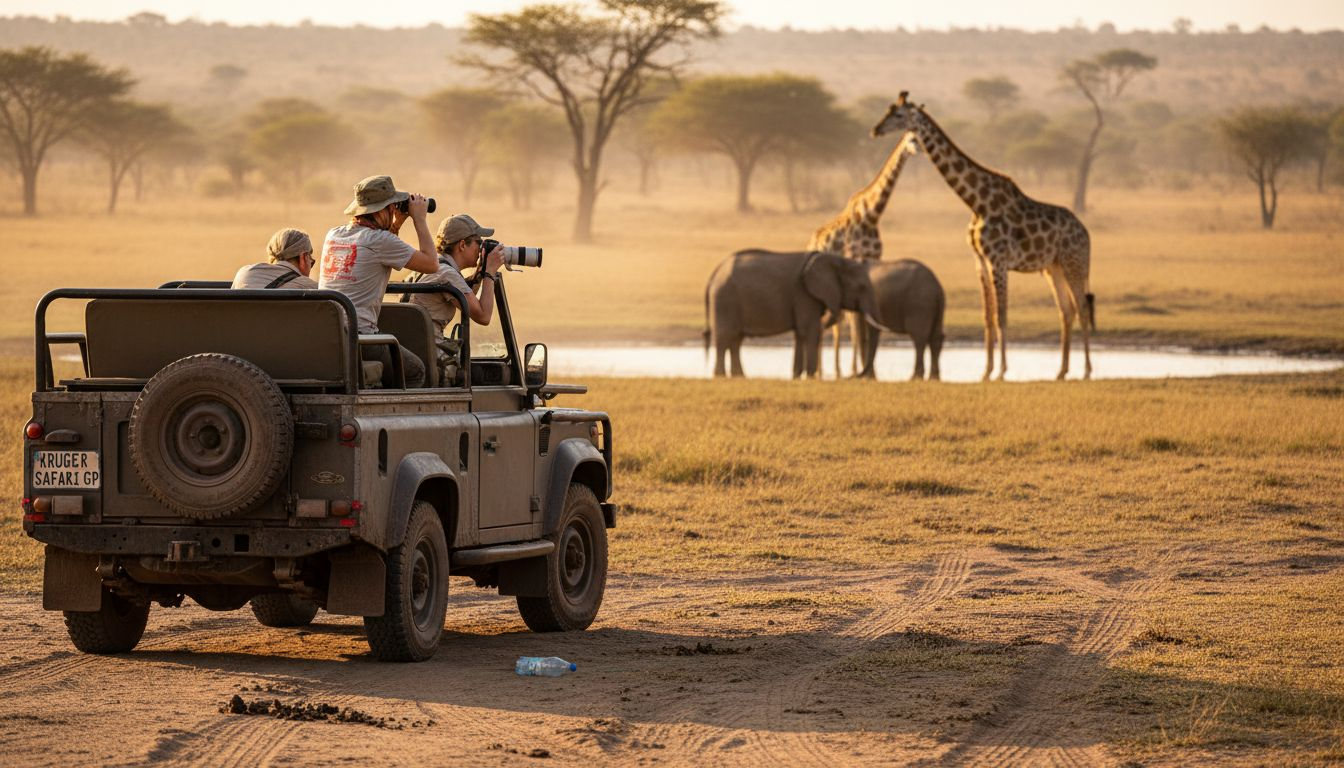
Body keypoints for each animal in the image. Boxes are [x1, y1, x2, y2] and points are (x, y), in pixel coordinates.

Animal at [703, 249, 879, 378]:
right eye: (861, 287)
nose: (855, 376)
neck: (835, 259)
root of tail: (715, 272)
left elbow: (800, 333)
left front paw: (797, 375)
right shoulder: (804, 294)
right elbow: (811, 331)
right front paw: (810, 376)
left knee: (736, 340)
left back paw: (739, 376)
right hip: (724, 299)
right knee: (724, 338)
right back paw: (720, 376)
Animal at [808, 131, 919, 378]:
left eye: (919, 138)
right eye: (910, 140)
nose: (919, 150)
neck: (871, 215)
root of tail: (811, 241)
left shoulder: (872, 261)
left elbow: (859, 325)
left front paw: (869, 372)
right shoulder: (855, 261)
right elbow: (857, 325)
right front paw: (862, 370)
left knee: (839, 323)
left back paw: (834, 369)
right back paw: (824, 370)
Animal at [872, 92, 1094, 381]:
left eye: (898, 115)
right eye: (888, 111)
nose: (875, 129)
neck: (977, 202)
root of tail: (1086, 233)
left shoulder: (998, 260)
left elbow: (1002, 315)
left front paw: (1001, 370)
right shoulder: (980, 261)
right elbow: (987, 318)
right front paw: (986, 371)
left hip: (1073, 263)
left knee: (1081, 308)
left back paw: (1087, 370)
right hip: (1052, 267)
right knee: (1066, 311)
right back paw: (1061, 371)